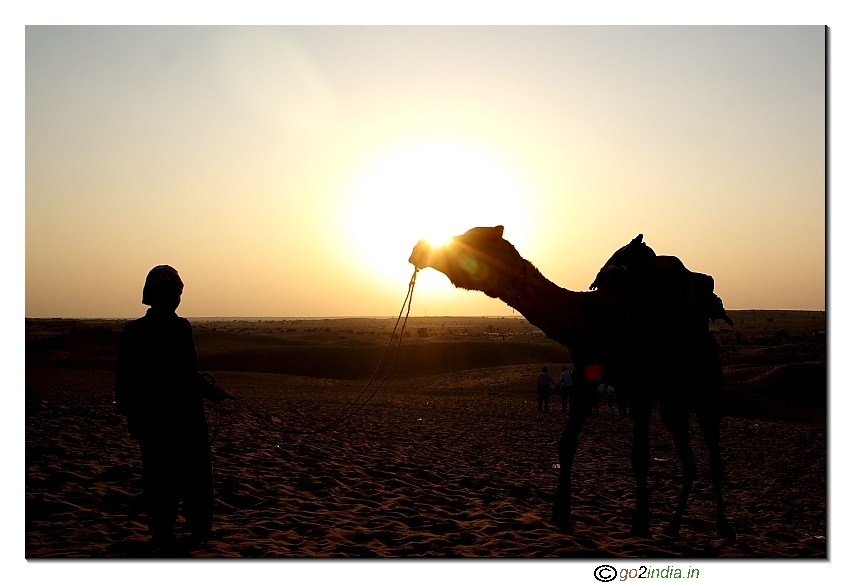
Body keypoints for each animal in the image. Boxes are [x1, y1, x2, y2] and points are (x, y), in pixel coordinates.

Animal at [408, 226, 736, 540]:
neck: (595, 320)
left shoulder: (639, 386)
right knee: (689, 460)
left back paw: (723, 529)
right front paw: (560, 513)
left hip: (707, 390)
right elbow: (566, 444)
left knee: (714, 458)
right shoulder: (584, 378)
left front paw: (641, 523)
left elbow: (640, 456)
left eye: (472, 240)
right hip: (673, 402)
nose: (418, 248)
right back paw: (673, 526)